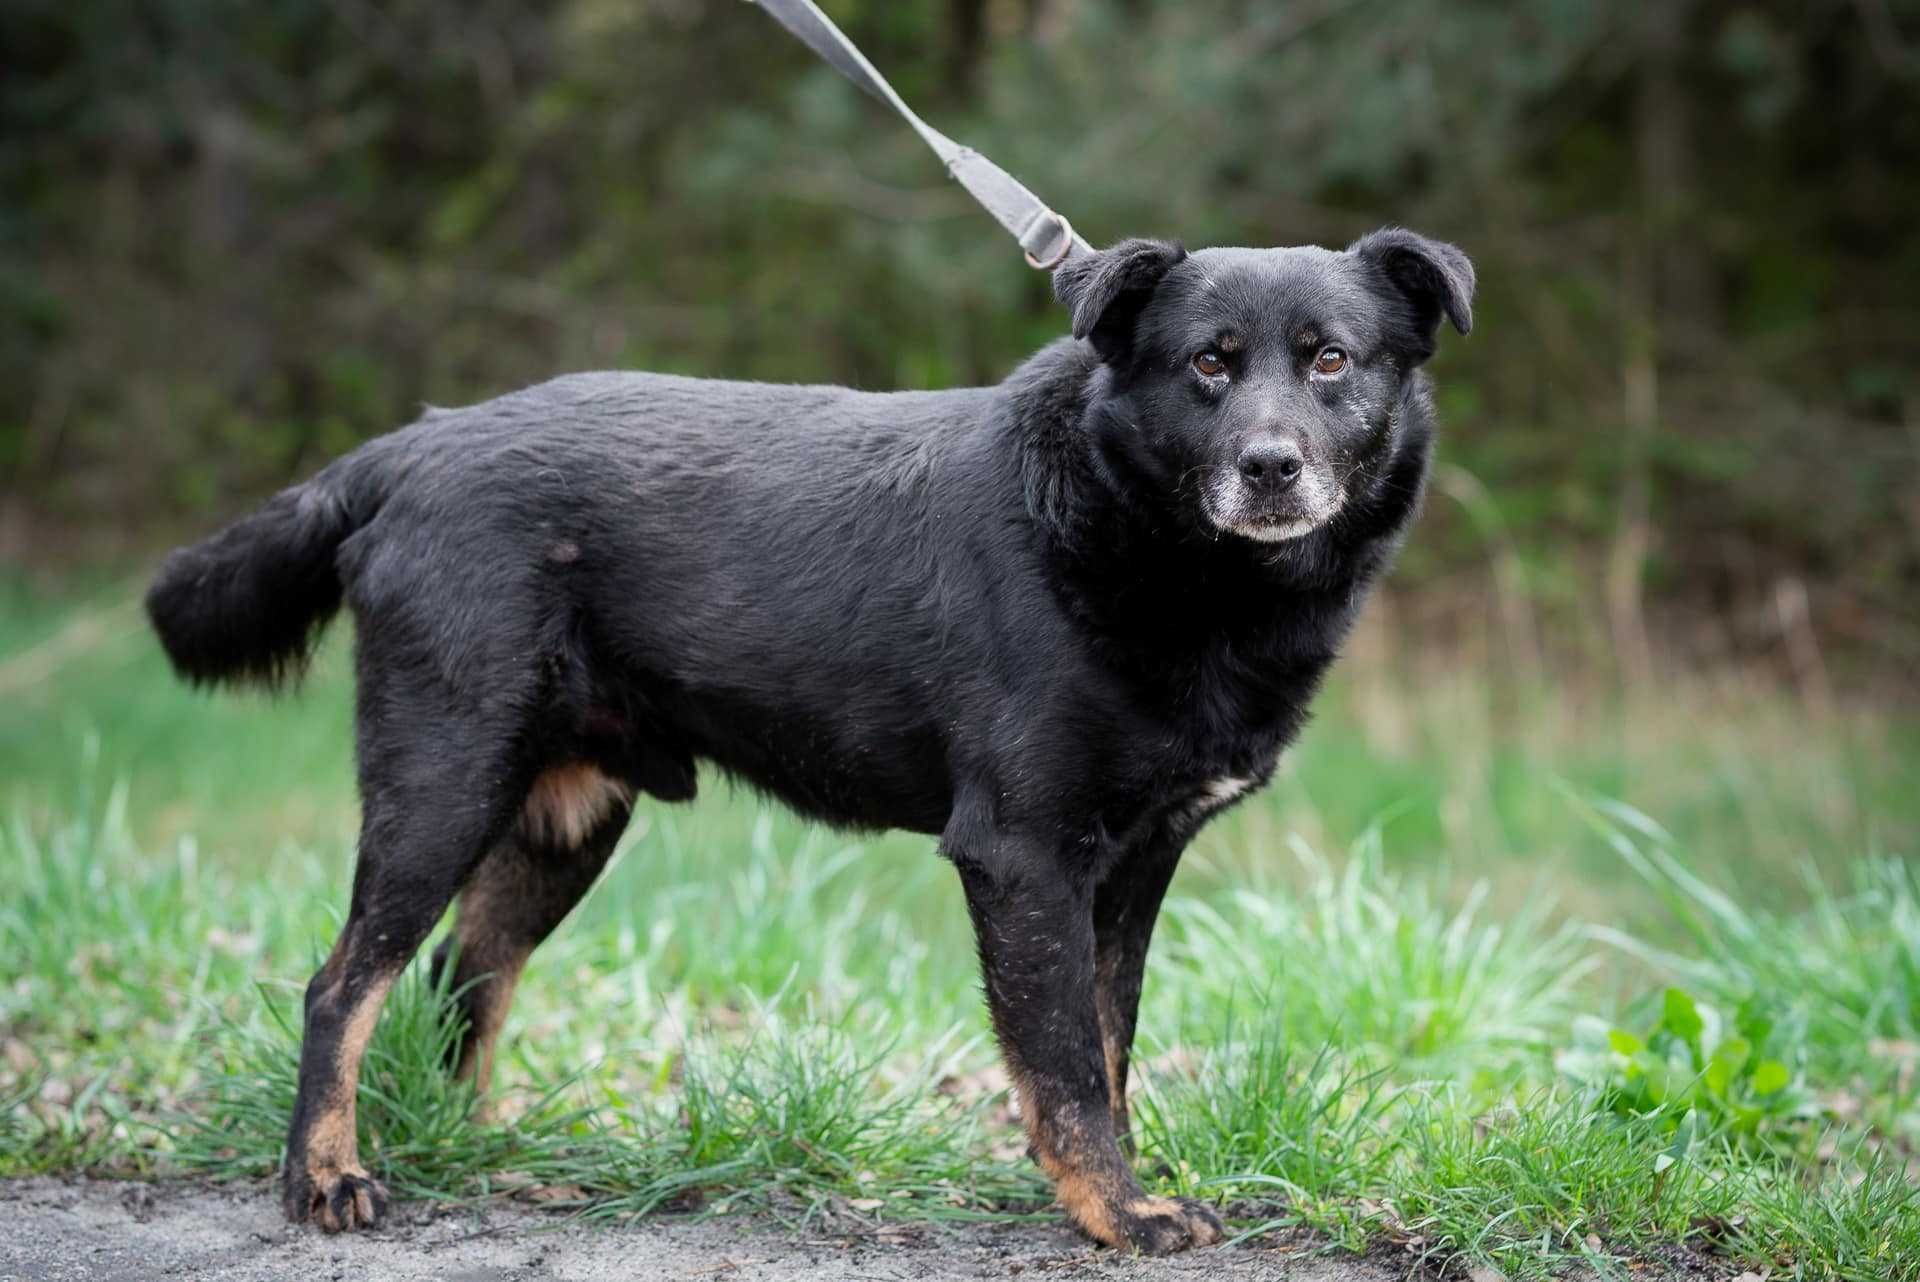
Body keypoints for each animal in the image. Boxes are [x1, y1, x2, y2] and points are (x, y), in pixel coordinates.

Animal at [149, 230, 1466, 1251]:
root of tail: (403, 448)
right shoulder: (1024, 852)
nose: (1270, 466)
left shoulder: (1135, 865)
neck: (1143, 539)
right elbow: (1066, 1071)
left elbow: (1109, 1047)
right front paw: (1119, 1214)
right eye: (1207, 363)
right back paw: (325, 1176)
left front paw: (1114, 1192)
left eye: (1332, 358)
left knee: (458, 980)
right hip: (443, 784)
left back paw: (479, 1149)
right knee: (340, 984)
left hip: (561, 823)